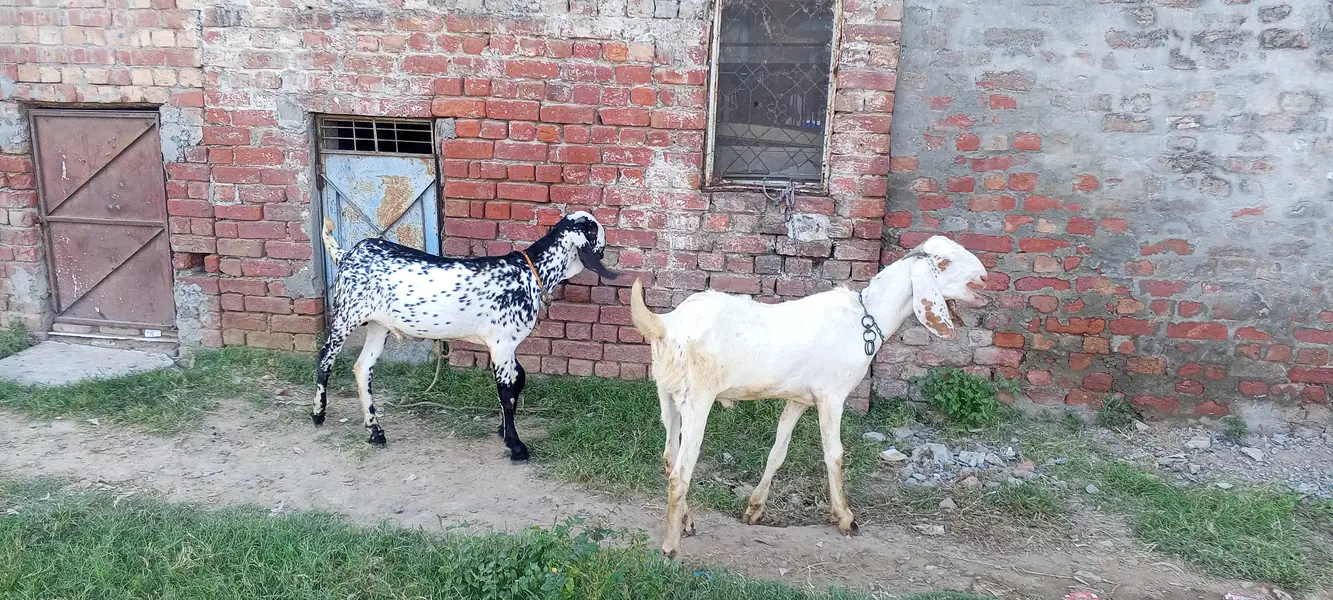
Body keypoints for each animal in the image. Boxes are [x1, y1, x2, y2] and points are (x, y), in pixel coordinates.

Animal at [314, 211, 617, 461]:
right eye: (596, 230)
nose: (606, 248)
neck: (529, 273)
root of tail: (347, 254)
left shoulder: (506, 346)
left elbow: (518, 380)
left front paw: (503, 430)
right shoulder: (502, 343)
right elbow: (507, 391)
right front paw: (516, 446)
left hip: (379, 325)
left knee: (363, 367)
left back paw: (375, 431)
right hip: (346, 316)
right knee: (325, 358)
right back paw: (318, 414)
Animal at [629, 235, 988, 557]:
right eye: (944, 261)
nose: (984, 277)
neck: (865, 319)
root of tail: (667, 324)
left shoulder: (800, 399)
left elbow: (778, 451)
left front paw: (755, 509)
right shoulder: (832, 396)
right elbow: (834, 455)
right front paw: (845, 518)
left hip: (668, 395)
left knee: (669, 458)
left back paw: (686, 522)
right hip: (697, 399)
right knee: (681, 471)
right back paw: (671, 546)